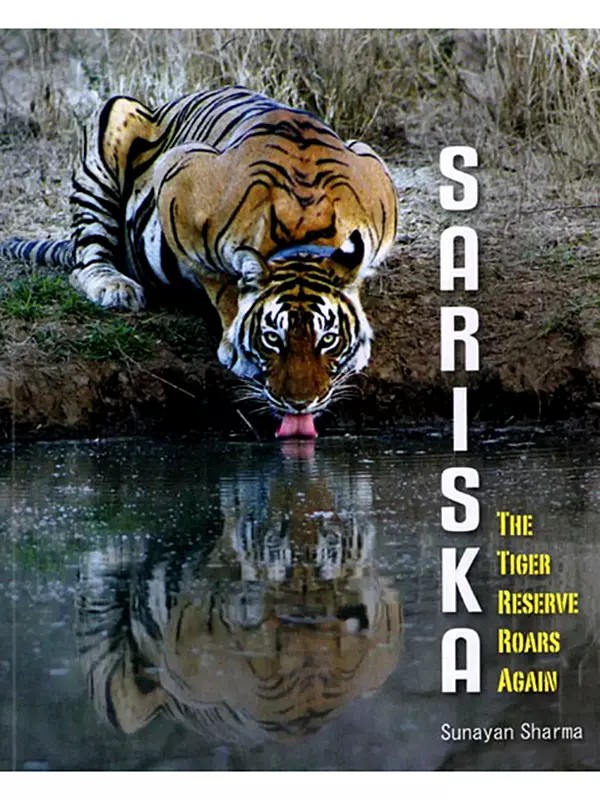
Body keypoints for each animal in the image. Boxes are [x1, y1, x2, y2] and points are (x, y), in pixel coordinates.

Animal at [0, 86, 398, 437]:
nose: (300, 404)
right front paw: (233, 342)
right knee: (86, 259)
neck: (303, 234)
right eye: (272, 338)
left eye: (328, 339)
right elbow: (218, 282)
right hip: (111, 119)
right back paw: (113, 286)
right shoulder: (178, 180)